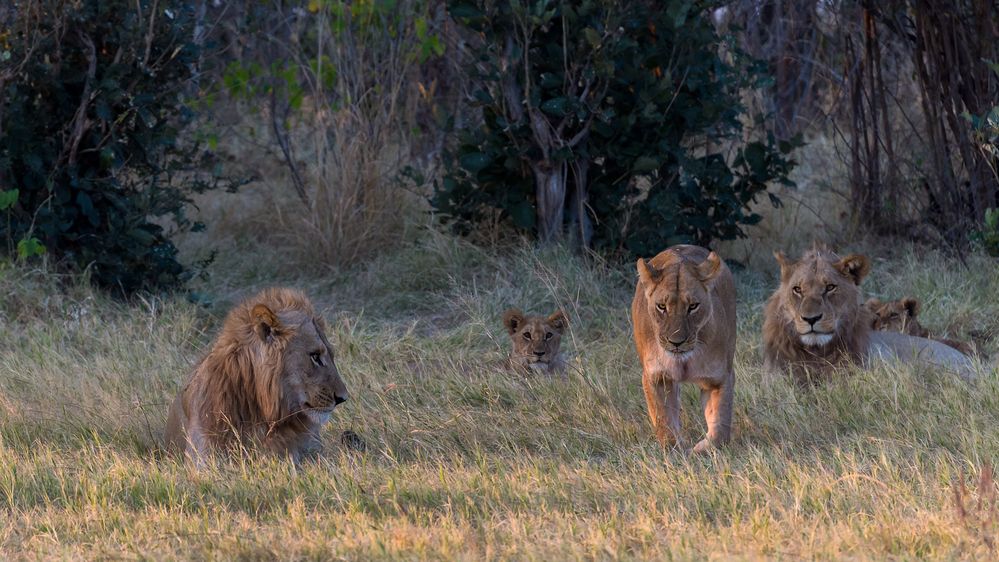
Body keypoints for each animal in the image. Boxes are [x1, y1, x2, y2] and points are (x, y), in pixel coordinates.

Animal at [628, 245, 740, 450]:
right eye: (661, 306)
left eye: (693, 306)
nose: (676, 342)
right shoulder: (656, 377)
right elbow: (663, 419)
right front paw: (674, 449)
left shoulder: (720, 377)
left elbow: (720, 422)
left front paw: (703, 449)